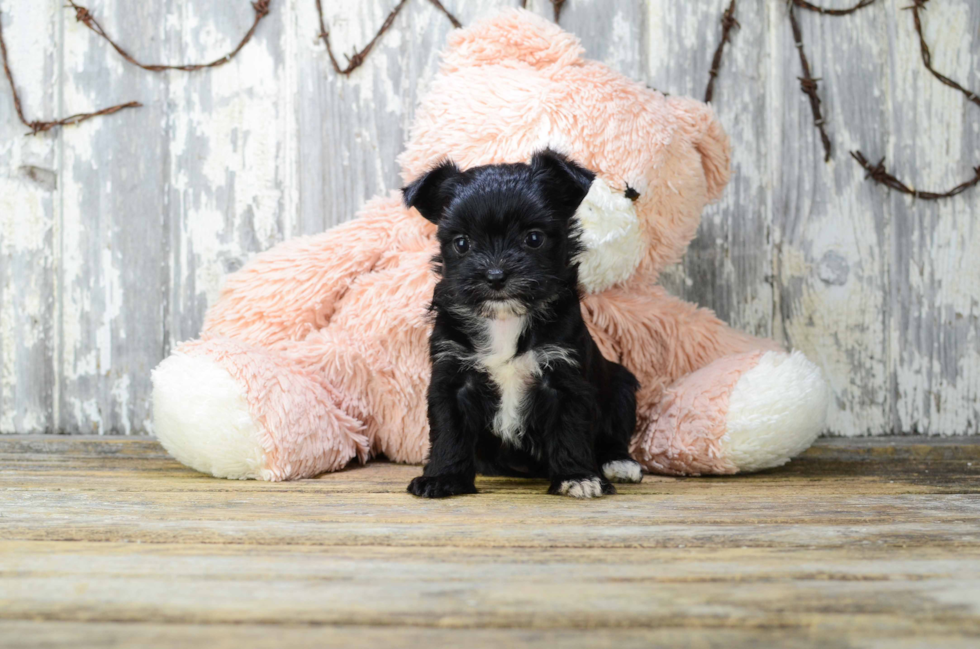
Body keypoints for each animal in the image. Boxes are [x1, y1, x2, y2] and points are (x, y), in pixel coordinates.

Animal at [402, 149, 640, 498]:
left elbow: (570, 429)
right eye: (462, 243)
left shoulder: (564, 375)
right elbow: (449, 431)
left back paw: (619, 463)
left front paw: (578, 477)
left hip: (621, 385)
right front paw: (442, 477)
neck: (504, 320)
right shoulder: (451, 377)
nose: (495, 275)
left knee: (614, 435)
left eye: (534, 238)